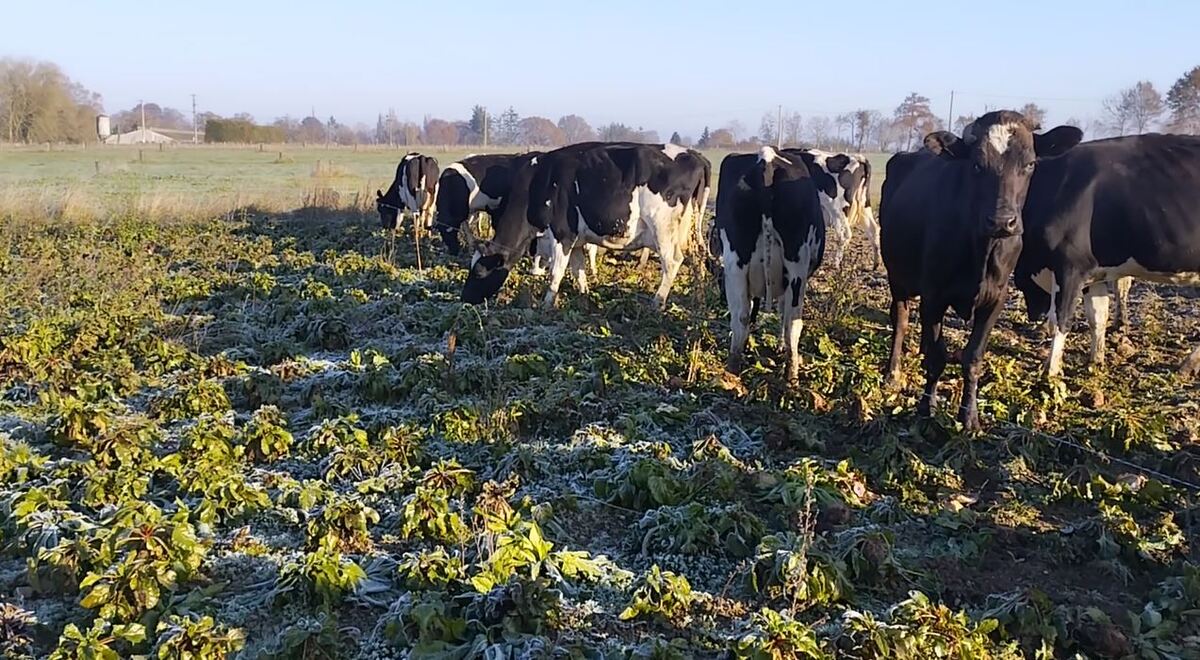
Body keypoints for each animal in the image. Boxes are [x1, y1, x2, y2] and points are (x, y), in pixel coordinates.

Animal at [463, 143, 710, 309]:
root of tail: (694, 155)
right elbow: (578, 269)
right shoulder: (578, 240)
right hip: (691, 230)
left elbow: (556, 272)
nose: (464, 298)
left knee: (672, 262)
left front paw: (547, 303)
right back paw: (698, 299)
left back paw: (657, 302)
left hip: (663, 228)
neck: (536, 186)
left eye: (479, 271)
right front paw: (583, 295)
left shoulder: (562, 234)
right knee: (698, 260)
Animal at [710, 145, 825, 384]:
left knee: (741, 315)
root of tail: (767, 158)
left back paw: (732, 368)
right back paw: (791, 374)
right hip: (796, 264)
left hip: (736, 261)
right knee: (792, 322)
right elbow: (783, 314)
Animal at [878, 112, 1084, 434]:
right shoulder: (934, 296)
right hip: (897, 277)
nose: (1002, 221)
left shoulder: (995, 300)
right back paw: (892, 373)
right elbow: (937, 357)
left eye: (1030, 164)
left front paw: (969, 418)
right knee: (900, 321)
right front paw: (926, 409)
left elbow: (972, 358)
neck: (982, 252)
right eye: (976, 165)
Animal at [1012, 133, 1200, 376]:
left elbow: (1061, 318)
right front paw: (1095, 361)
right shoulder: (1094, 272)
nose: (1033, 315)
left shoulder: (1070, 266)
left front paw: (1050, 371)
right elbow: (1098, 316)